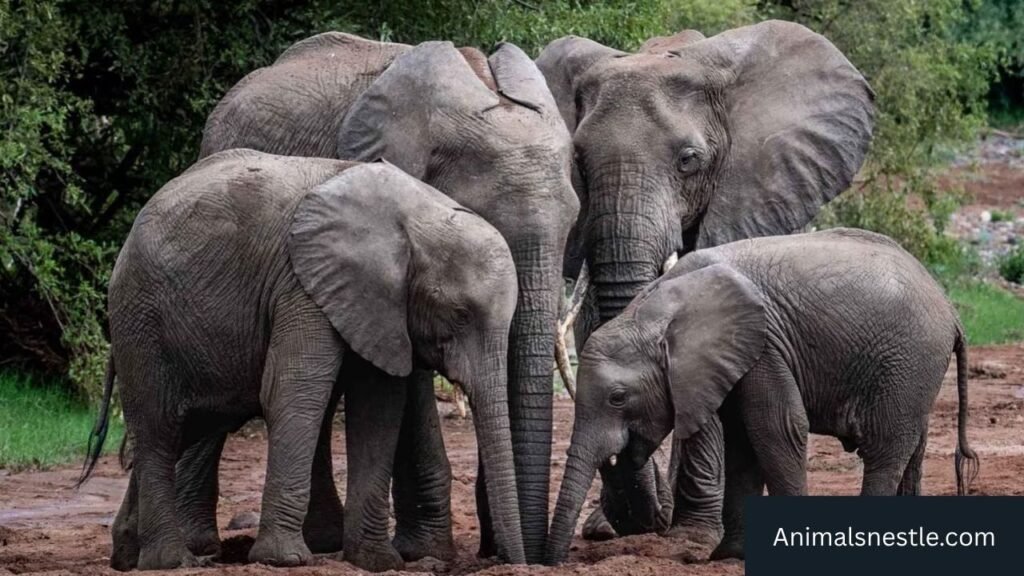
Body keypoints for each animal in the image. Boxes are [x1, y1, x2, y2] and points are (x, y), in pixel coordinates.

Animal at [80, 151, 526, 570]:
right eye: (458, 313)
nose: (511, 561)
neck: (417, 213)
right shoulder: (302, 284)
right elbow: (294, 391)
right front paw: (284, 559)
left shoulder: (376, 303)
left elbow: (378, 409)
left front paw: (376, 562)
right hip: (141, 319)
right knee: (160, 428)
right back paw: (172, 562)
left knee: (189, 427)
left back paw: (128, 556)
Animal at [546, 228, 979, 564]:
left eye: (618, 398)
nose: (556, 562)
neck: (657, 307)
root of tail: (952, 310)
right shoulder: (732, 359)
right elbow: (741, 443)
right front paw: (728, 557)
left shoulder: (765, 344)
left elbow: (779, 429)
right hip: (913, 372)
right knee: (912, 450)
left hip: (909, 360)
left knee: (884, 450)